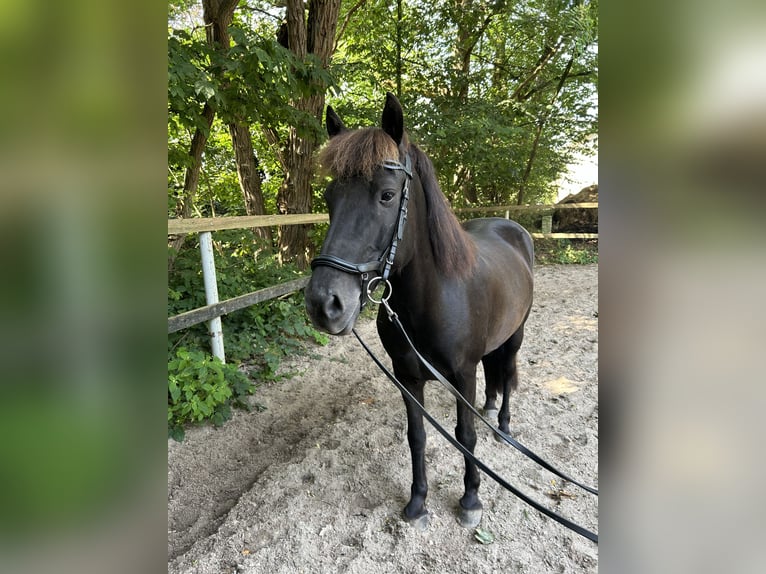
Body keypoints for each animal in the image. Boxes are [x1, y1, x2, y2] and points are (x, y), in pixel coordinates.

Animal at [306, 93, 536, 532]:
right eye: (329, 199)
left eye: (386, 195)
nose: (324, 304)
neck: (431, 301)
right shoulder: (408, 377)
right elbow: (417, 437)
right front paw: (417, 502)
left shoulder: (462, 375)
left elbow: (466, 436)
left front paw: (470, 499)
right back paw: (490, 407)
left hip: (515, 336)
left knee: (508, 368)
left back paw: (502, 424)